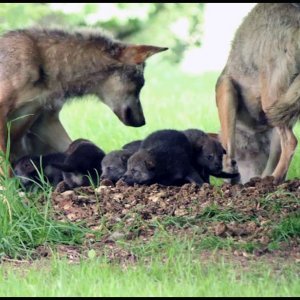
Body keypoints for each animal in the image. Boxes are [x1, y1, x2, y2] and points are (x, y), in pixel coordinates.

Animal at [0, 28, 168, 173]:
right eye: (140, 85)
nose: (143, 122)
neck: (44, 65)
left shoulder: (44, 122)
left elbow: (73, 146)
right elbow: (6, 168)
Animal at [216, 3, 300, 184]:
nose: (244, 181)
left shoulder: (225, 92)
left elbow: (228, 146)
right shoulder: (277, 128)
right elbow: (275, 158)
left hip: (270, 103)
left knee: (292, 142)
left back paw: (274, 178)